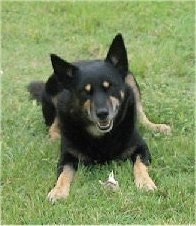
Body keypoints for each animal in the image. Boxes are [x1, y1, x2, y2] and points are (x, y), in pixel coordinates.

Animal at [28, 34, 170, 203]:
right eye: (85, 91)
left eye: (109, 87)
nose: (102, 113)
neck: (101, 137)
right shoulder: (67, 157)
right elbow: (63, 174)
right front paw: (58, 191)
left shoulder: (141, 148)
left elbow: (140, 165)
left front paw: (145, 183)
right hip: (57, 97)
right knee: (52, 125)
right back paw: (55, 136)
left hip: (130, 78)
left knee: (141, 114)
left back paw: (157, 127)